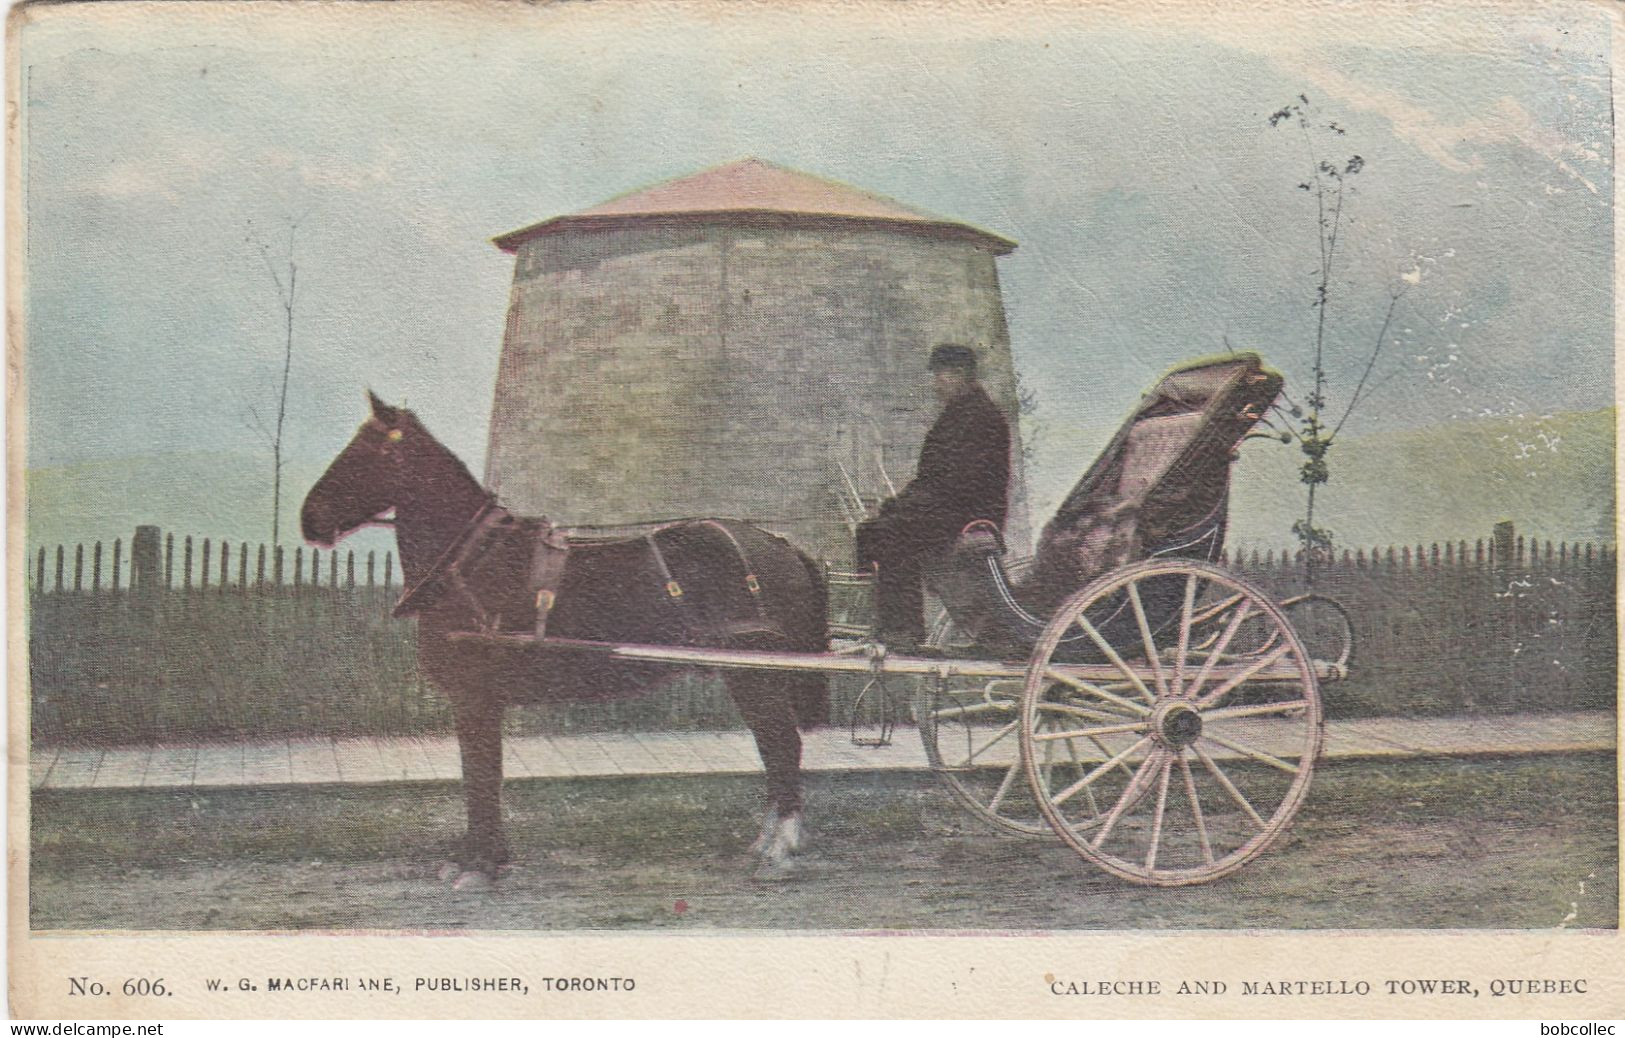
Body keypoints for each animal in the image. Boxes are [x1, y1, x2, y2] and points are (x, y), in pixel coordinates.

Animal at [299, 393, 825, 890]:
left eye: (371, 450)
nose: (310, 518)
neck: (475, 563)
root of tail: (782, 545)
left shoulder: (476, 698)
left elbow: (481, 776)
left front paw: (480, 865)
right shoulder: (478, 701)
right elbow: (481, 774)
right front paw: (480, 859)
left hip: (756, 675)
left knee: (782, 746)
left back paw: (780, 851)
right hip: (748, 675)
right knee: (773, 748)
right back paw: (766, 841)